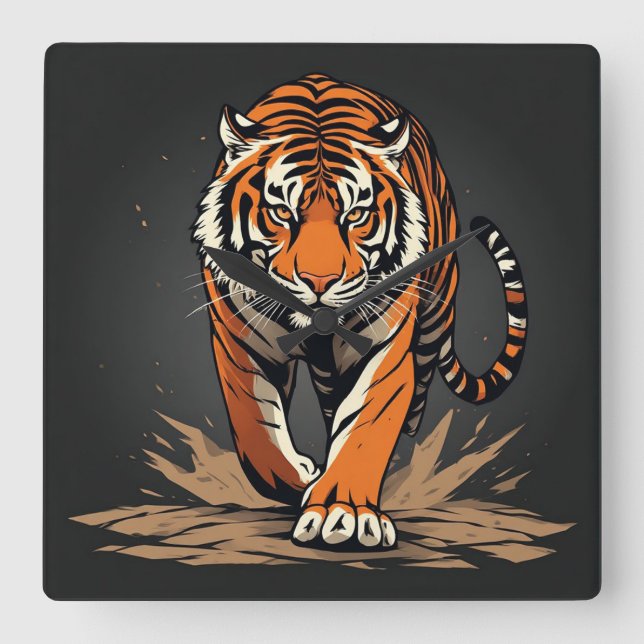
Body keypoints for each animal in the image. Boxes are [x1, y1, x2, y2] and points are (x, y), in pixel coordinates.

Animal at [192, 73, 527, 550]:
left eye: (355, 215)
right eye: (281, 212)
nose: (318, 283)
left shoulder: (385, 349)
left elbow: (366, 427)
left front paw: (342, 512)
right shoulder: (240, 342)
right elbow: (258, 436)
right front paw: (306, 478)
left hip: (434, 316)